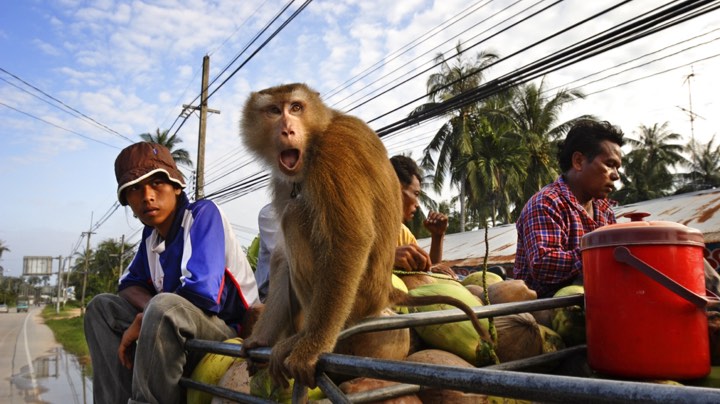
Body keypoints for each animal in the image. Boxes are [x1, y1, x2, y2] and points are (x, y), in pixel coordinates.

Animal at [239, 82, 492, 388]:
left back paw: (305, 337)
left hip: (359, 297)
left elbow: (349, 240)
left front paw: (311, 348)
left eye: (296, 107)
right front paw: (260, 339)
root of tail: (386, 291)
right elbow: (281, 256)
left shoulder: (335, 152)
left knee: (295, 216)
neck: (316, 138)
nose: (287, 130)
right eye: (275, 110)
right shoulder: (283, 180)